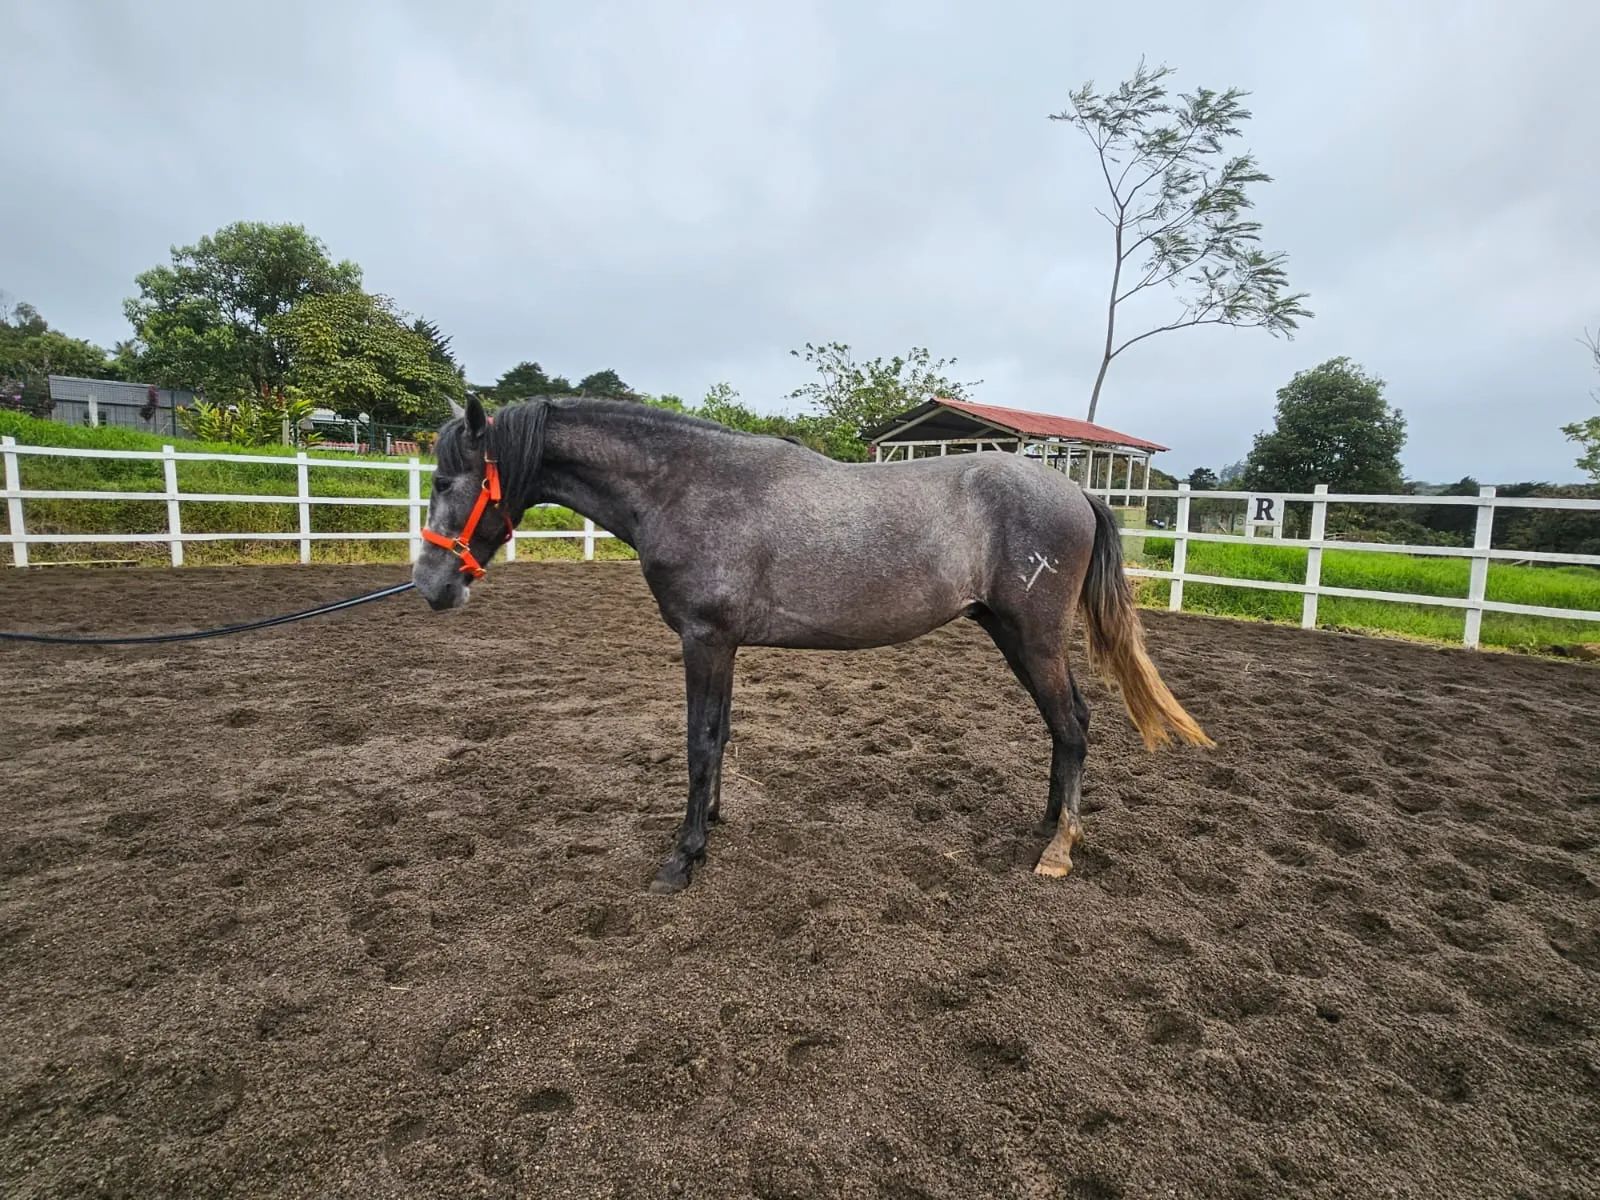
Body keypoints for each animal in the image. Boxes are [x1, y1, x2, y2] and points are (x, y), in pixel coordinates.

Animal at [413, 394, 1213, 894]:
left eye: (450, 479)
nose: (430, 584)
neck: (687, 486)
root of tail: (1077, 491)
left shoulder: (704, 640)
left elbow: (699, 741)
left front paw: (683, 858)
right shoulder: (724, 646)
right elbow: (721, 735)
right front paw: (711, 823)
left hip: (1035, 636)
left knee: (1072, 724)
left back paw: (1057, 850)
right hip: (1010, 634)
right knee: (1063, 725)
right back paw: (1048, 823)